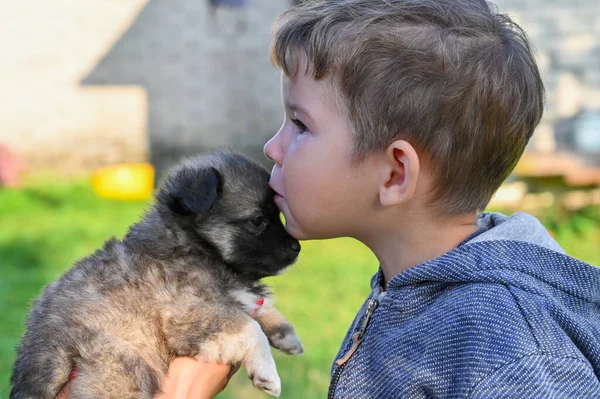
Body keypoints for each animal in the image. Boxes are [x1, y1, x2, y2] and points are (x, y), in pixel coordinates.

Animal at [11, 152, 304, 398]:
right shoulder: (193, 312)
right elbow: (250, 327)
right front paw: (268, 373)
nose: (297, 247)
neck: (192, 245)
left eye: (278, 215)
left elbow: (260, 308)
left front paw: (285, 334)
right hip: (125, 366)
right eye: (257, 220)